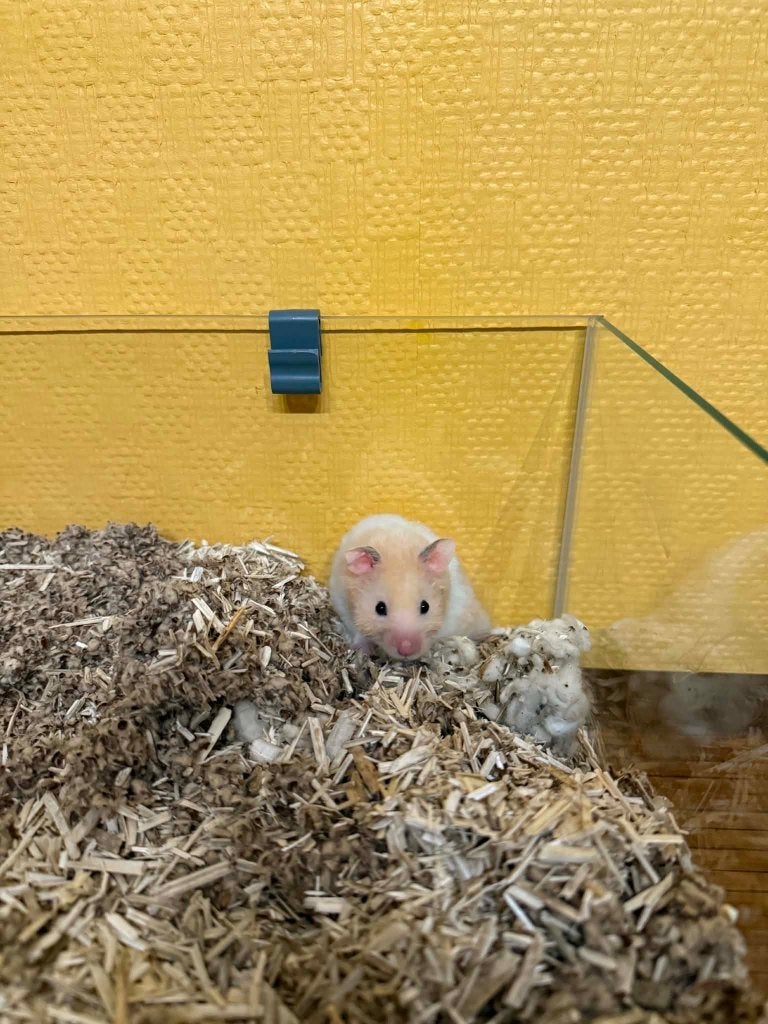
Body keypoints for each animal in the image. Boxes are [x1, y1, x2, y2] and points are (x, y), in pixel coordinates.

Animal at [329, 514, 491, 661]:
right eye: (379, 608)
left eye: (425, 606)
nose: (407, 651)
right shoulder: (343, 605)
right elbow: (358, 632)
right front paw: (364, 652)